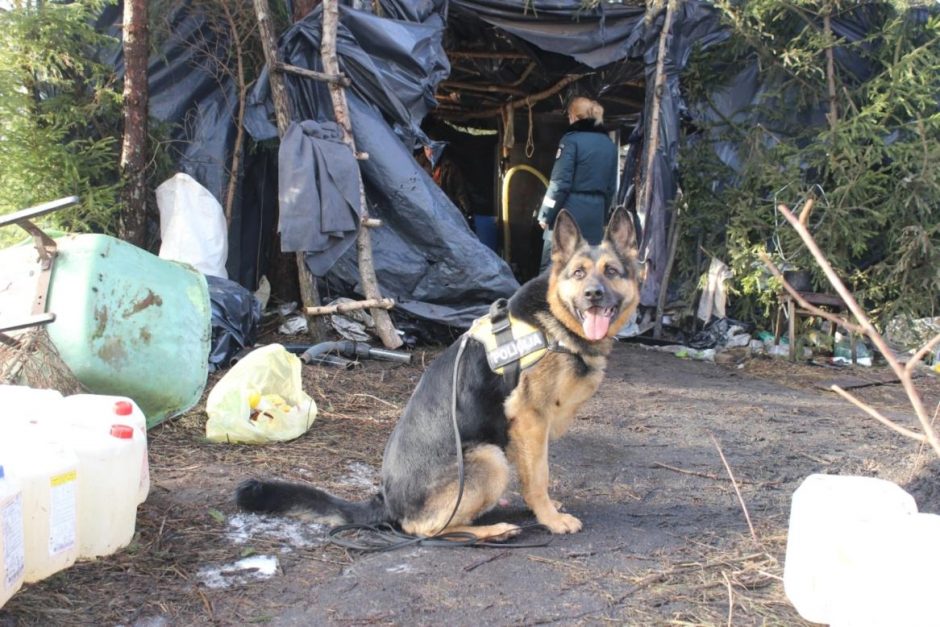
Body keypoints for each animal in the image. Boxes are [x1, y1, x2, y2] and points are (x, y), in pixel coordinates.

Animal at [239, 209, 644, 544]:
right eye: (579, 274)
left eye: (611, 272)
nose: (593, 295)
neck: (554, 321)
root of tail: (387, 501)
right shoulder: (531, 420)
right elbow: (539, 475)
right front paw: (550, 519)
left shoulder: (523, 431)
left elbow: (534, 474)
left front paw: (542, 508)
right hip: (489, 459)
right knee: (426, 529)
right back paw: (493, 531)